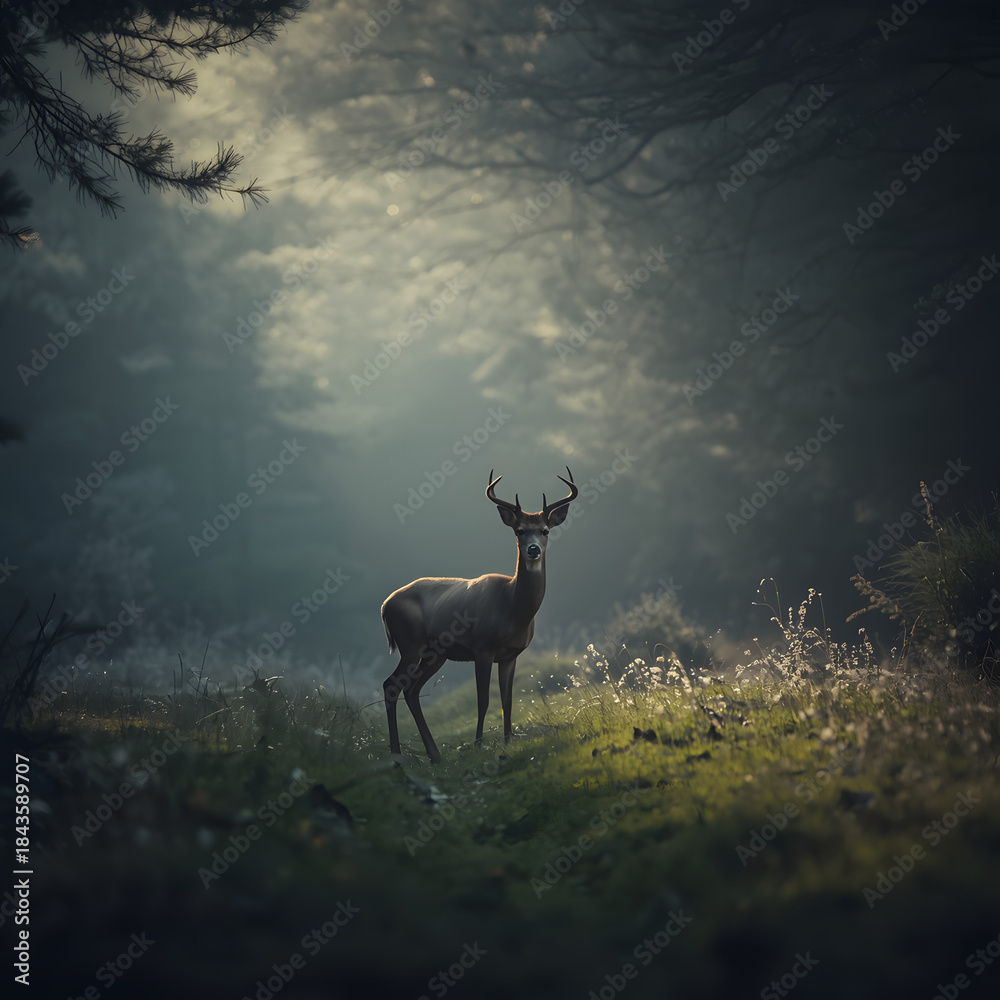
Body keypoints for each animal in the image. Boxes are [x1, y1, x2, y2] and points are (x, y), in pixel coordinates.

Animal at [381, 467, 578, 762]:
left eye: (545, 530)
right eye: (519, 530)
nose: (533, 549)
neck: (511, 605)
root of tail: (384, 605)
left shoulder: (511, 655)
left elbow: (507, 700)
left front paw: (508, 743)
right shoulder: (482, 647)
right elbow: (483, 700)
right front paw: (477, 745)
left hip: (435, 653)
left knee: (411, 689)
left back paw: (434, 754)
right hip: (410, 643)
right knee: (391, 685)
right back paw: (397, 755)